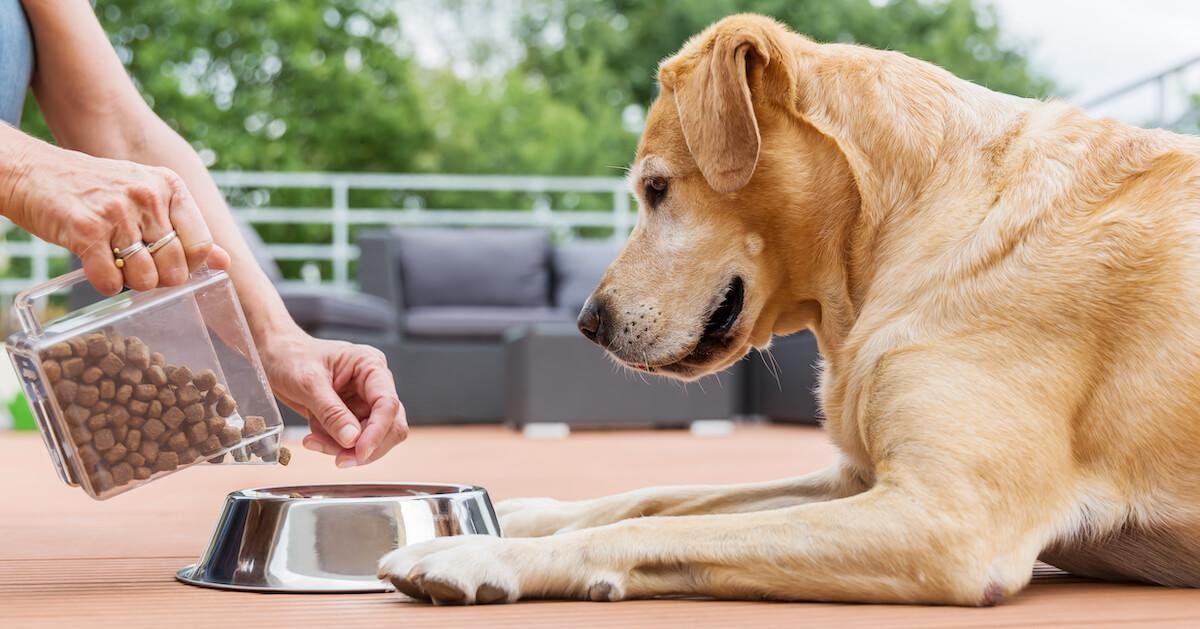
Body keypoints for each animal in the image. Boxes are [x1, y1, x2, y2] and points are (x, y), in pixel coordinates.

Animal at [379, 13, 1200, 604]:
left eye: (656, 188)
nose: (587, 323)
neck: (903, 225)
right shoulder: (856, 479)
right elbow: (656, 498)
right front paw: (519, 514)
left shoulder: (947, 519)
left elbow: (648, 530)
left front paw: (480, 550)